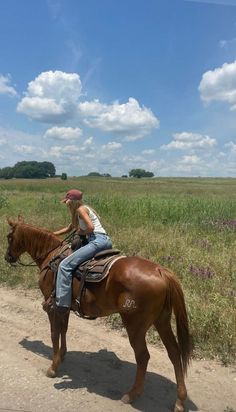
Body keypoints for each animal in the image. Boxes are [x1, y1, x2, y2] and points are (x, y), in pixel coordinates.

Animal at [5, 217, 192, 410]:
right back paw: (179, 401)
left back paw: (131, 395)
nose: (7, 257)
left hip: (135, 326)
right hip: (162, 321)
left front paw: (53, 367)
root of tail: (161, 271)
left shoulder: (52, 307)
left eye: (9, 237)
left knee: (143, 357)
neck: (51, 257)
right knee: (174, 353)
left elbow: (54, 333)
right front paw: (62, 356)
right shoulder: (64, 307)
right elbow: (63, 330)